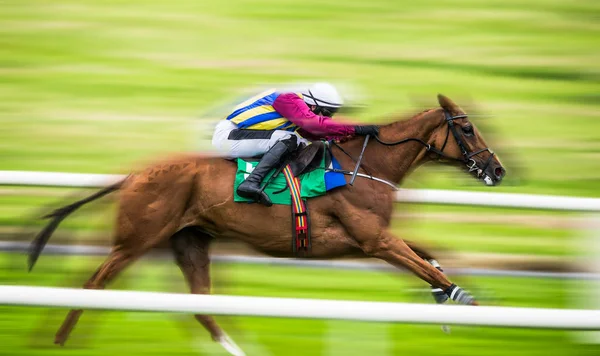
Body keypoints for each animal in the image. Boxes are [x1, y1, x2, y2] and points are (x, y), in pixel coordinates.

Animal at [29, 93, 506, 354]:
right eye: (467, 128)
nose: (497, 170)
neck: (367, 166)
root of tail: (133, 174)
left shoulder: (367, 241)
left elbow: (429, 258)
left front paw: (443, 304)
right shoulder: (374, 240)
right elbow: (429, 267)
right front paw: (473, 306)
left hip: (190, 241)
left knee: (203, 308)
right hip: (137, 239)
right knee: (93, 284)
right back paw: (58, 341)